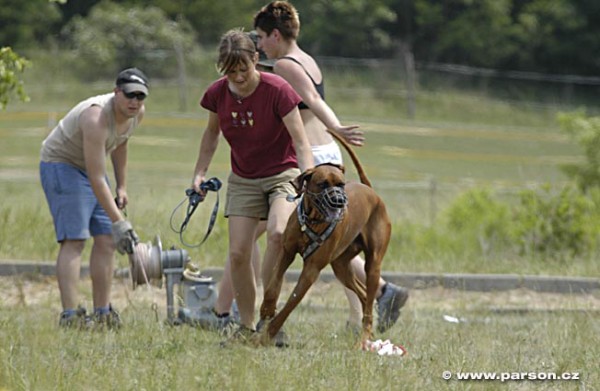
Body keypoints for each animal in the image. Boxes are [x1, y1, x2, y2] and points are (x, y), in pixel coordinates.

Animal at [256, 130, 390, 348]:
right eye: (322, 184)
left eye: (341, 185)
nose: (339, 201)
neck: (313, 220)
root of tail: (371, 191)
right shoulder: (286, 252)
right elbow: (274, 284)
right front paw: (267, 308)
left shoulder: (311, 269)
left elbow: (291, 303)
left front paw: (268, 334)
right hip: (340, 266)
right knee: (363, 296)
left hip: (373, 265)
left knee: (369, 304)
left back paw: (363, 339)